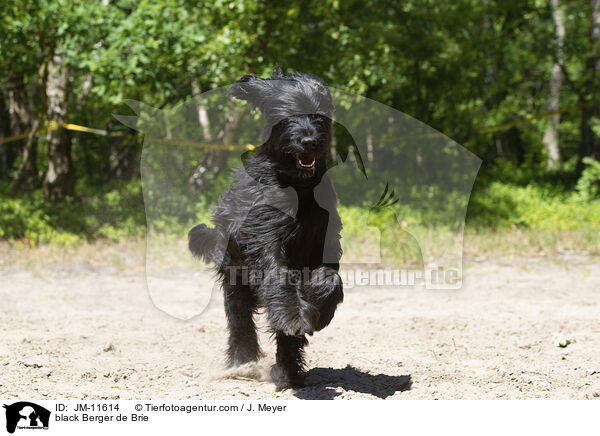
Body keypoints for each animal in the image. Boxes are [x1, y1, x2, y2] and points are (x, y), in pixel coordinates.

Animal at [190, 70, 344, 388]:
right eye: (287, 115)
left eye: (318, 115)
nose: (309, 140)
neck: (299, 188)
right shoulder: (265, 237)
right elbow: (277, 274)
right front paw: (293, 315)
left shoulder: (323, 240)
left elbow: (330, 278)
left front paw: (318, 309)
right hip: (234, 277)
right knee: (240, 321)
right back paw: (244, 363)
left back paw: (287, 371)